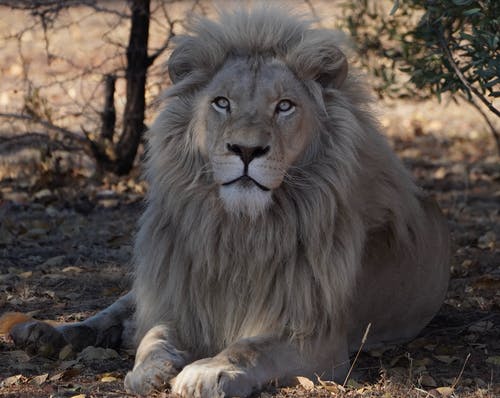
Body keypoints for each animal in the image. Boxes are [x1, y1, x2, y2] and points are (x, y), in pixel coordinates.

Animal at [9, 7, 452, 398]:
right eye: (222, 102)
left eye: (284, 106)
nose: (246, 149)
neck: (239, 229)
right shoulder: (180, 295)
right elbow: (152, 334)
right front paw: (149, 369)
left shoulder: (317, 336)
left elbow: (250, 347)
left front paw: (207, 371)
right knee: (114, 312)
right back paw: (43, 333)